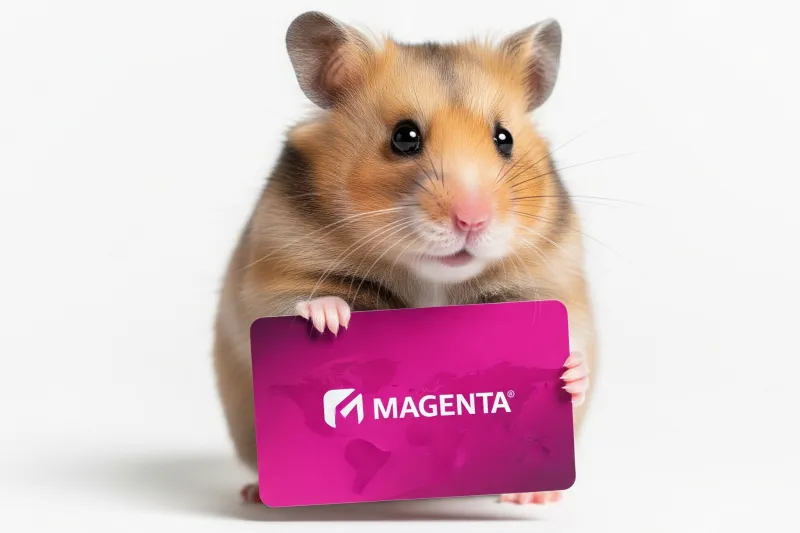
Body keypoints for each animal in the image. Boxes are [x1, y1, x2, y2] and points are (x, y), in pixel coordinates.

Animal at [213, 11, 596, 507]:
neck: (432, 275)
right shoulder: (277, 269)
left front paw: (569, 374)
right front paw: (329, 319)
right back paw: (261, 492)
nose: (472, 220)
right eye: (404, 137)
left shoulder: (552, 280)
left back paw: (530, 495)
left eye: (504, 138)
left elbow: (577, 346)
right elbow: (303, 298)